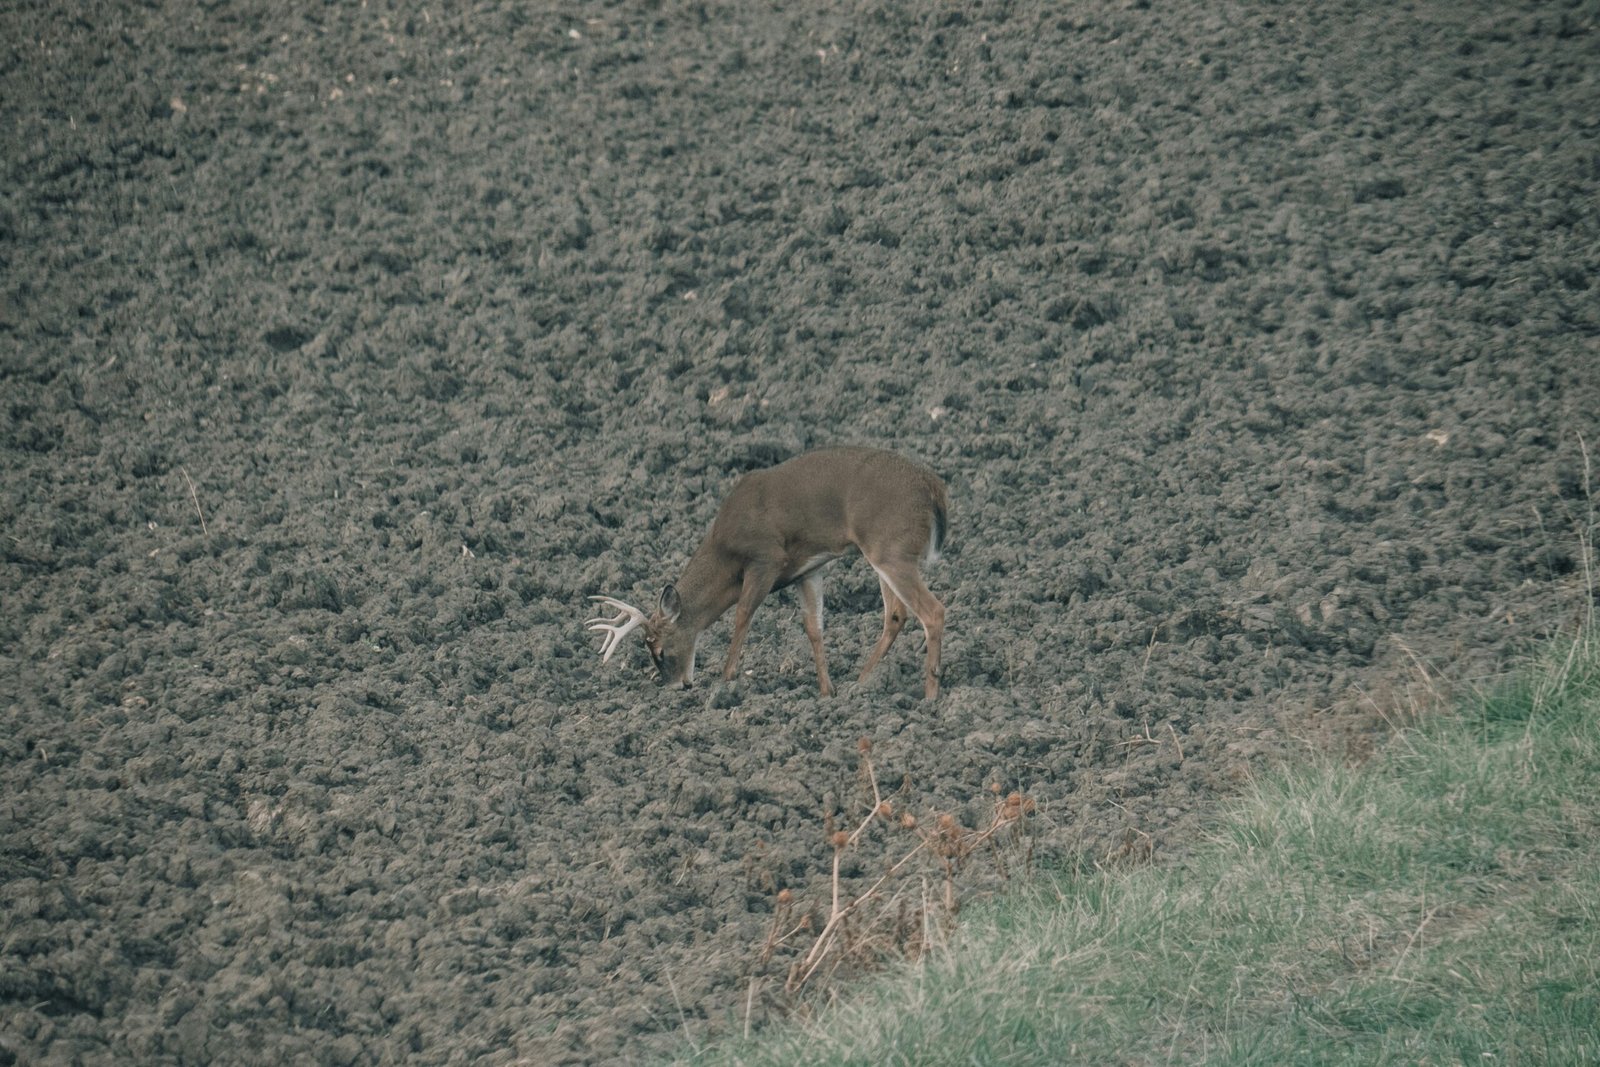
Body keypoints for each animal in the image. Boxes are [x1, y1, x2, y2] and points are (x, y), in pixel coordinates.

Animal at [586, 447, 949, 699]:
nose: (677, 686)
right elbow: (813, 627)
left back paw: (930, 695)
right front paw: (826, 691)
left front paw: (725, 678)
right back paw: (860, 683)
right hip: (882, 553)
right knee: (896, 614)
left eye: (659, 650)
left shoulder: (766, 558)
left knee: (933, 611)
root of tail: (934, 487)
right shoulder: (808, 570)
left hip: (889, 548)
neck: (724, 551)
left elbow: (743, 614)